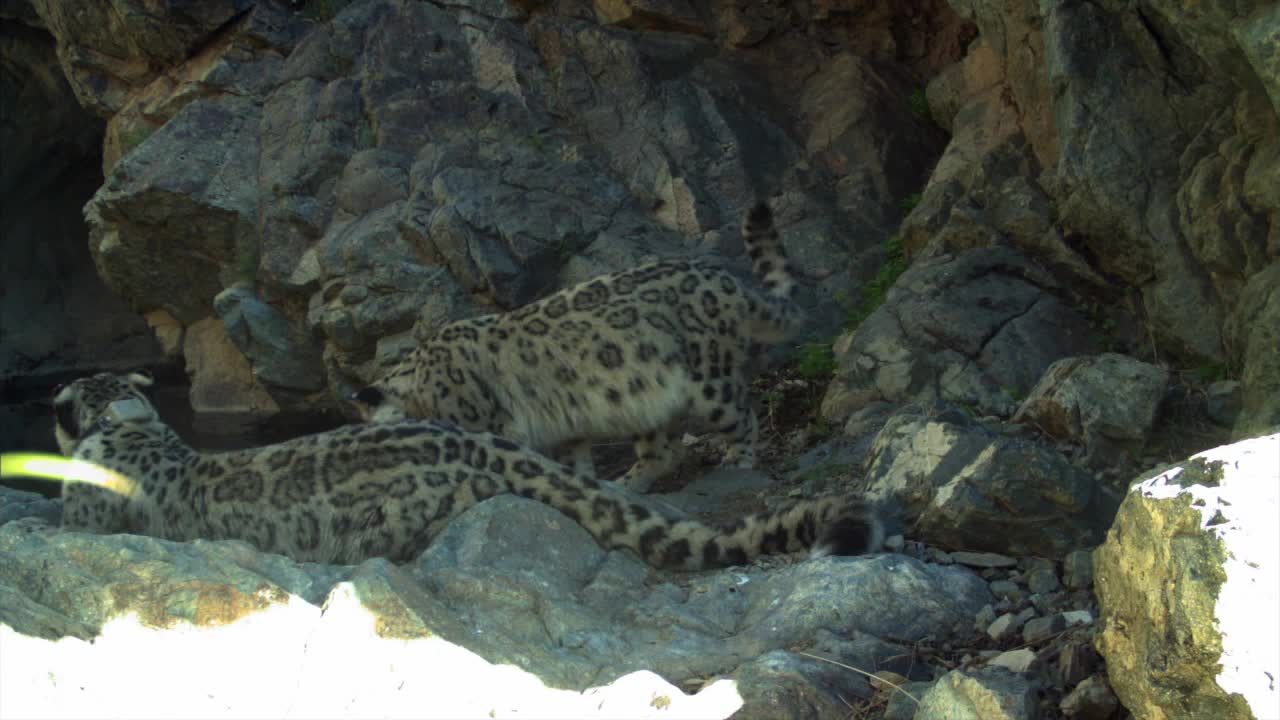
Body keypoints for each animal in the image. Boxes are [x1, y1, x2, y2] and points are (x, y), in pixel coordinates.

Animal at [353, 204, 798, 489]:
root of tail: (725, 279)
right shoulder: (565, 432)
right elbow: (575, 462)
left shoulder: (484, 426)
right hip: (645, 399)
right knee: (662, 452)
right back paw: (626, 485)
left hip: (709, 379)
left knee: (743, 415)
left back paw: (738, 462)